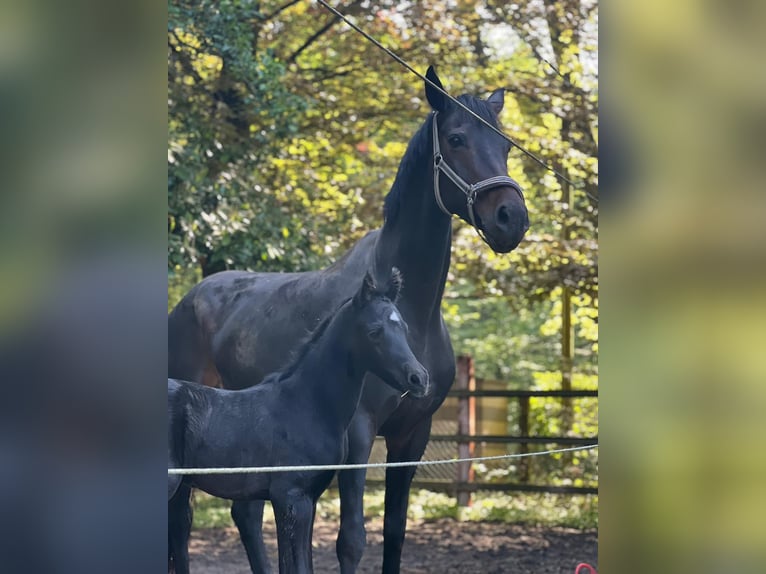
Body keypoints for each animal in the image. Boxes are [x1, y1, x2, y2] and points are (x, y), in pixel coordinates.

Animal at [170, 272, 432, 574]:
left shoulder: (309, 498)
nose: (419, 378)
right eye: (374, 332)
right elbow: (295, 565)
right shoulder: (290, 498)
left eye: (404, 327)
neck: (305, 404)